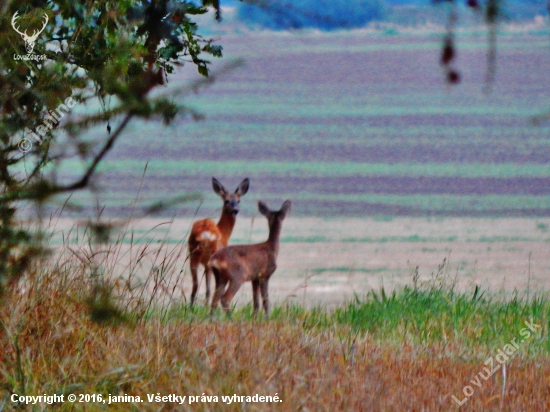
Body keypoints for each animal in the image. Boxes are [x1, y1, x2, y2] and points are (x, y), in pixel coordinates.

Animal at [189, 177, 251, 306]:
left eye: (239, 200)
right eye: (226, 201)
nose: (235, 210)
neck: (223, 233)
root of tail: (205, 232)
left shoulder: (205, 264)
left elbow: (207, 288)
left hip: (193, 253)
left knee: (195, 284)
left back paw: (191, 308)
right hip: (213, 257)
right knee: (216, 288)